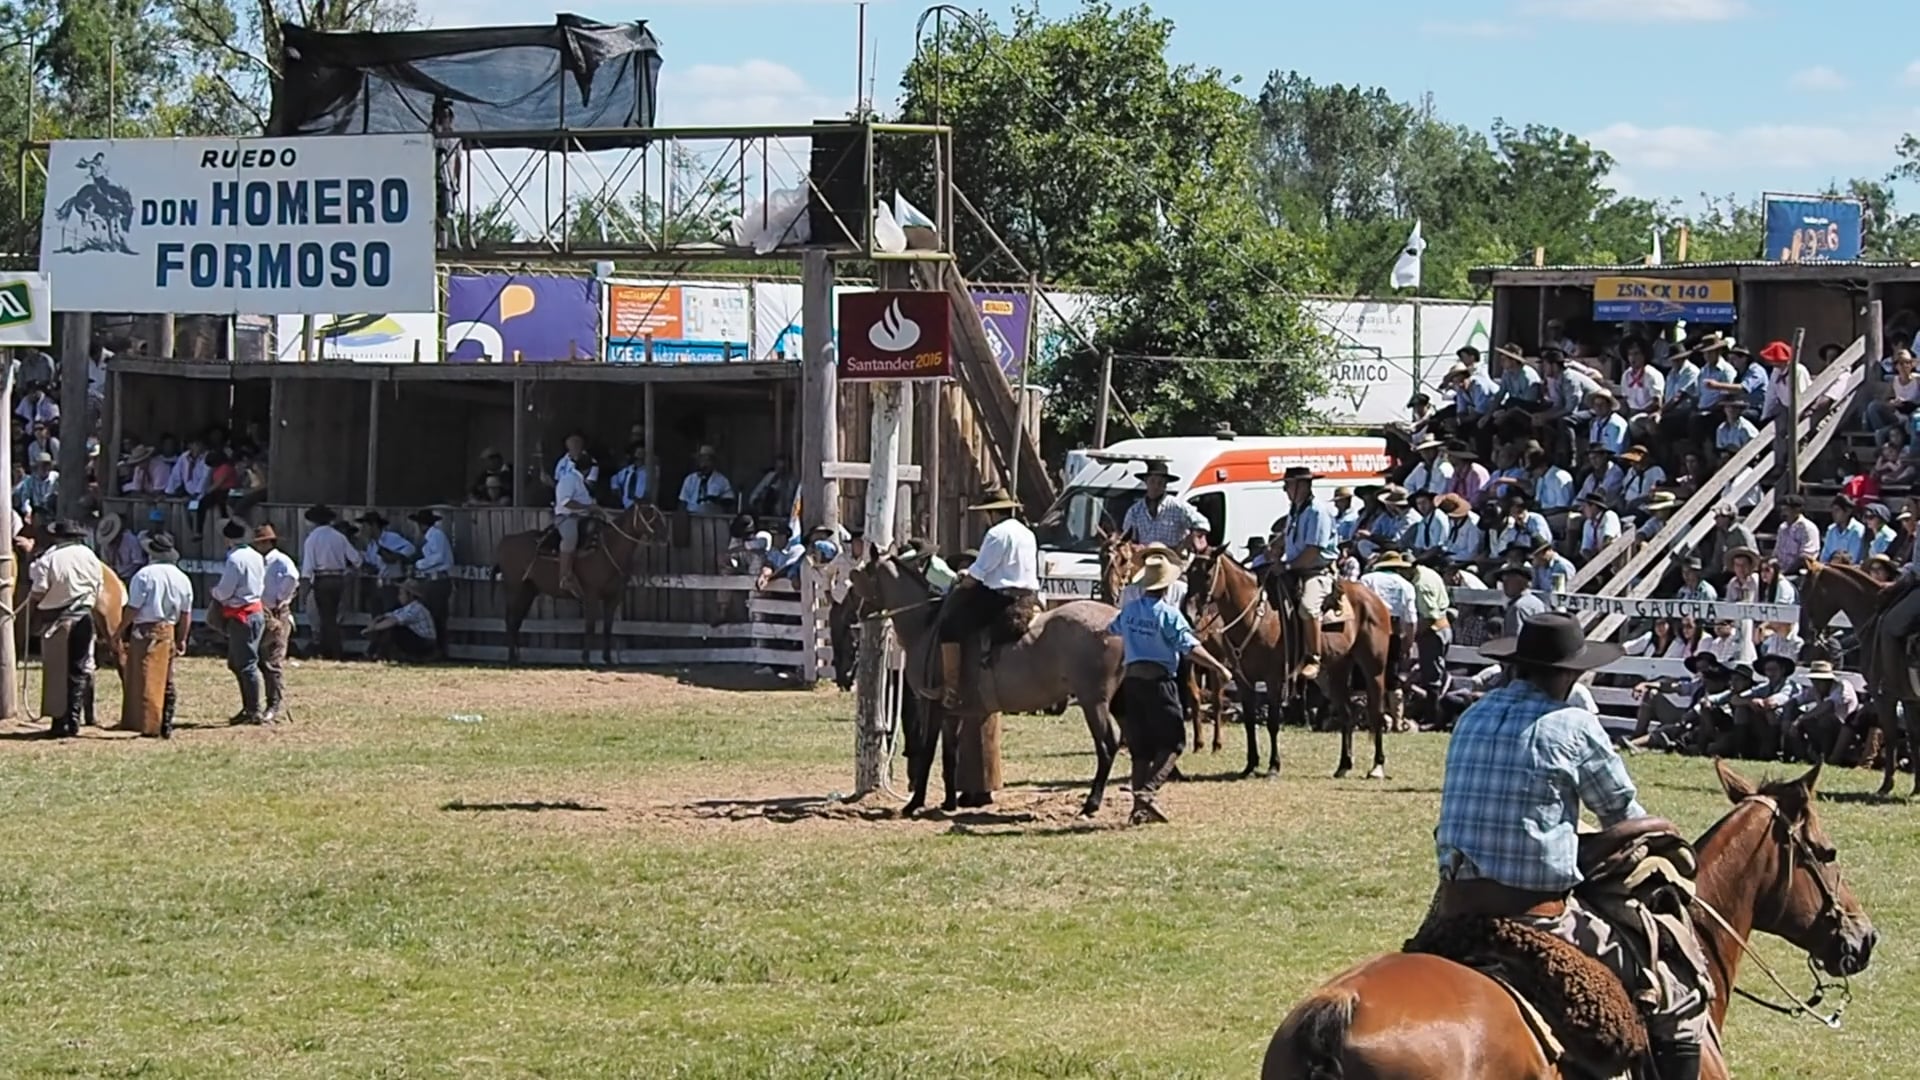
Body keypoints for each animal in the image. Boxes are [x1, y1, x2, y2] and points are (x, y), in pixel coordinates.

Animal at [495, 503, 668, 664]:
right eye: (651, 517)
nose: (665, 538)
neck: (608, 548)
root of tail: (506, 540)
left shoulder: (613, 597)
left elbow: (607, 628)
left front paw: (607, 658)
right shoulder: (591, 594)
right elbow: (590, 625)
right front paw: (585, 658)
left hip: (528, 591)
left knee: (516, 621)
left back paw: (517, 656)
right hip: (514, 589)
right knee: (510, 620)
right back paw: (511, 657)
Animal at [856, 549, 1121, 810]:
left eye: (863, 573)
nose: (858, 612)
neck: (925, 625)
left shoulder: (930, 705)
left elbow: (928, 751)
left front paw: (914, 803)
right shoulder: (953, 713)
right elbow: (950, 754)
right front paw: (949, 802)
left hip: (1093, 701)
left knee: (1107, 745)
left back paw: (1092, 803)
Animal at [1789, 557, 1912, 795]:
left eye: (1804, 589)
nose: (1803, 633)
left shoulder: (1885, 695)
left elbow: (1892, 734)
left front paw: (1886, 785)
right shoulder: (1910, 698)